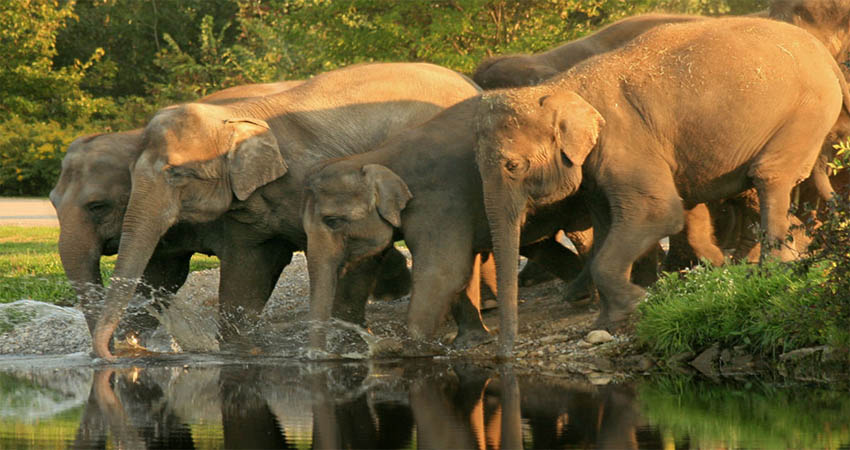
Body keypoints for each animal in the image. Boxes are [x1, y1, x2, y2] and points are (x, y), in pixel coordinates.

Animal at [90, 62, 481, 360]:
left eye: (176, 173)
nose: (113, 355)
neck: (240, 115)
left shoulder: (312, 177)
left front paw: (346, 347)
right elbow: (249, 268)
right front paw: (240, 350)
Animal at [302, 96, 589, 351]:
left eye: (332, 221)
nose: (317, 356)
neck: (375, 156)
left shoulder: (440, 202)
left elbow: (443, 272)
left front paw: (410, 349)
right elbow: (367, 265)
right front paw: (471, 342)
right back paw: (582, 293)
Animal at [474, 17, 849, 356]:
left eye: (512, 166)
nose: (504, 354)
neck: (560, 85)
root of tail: (827, 57)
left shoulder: (624, 141)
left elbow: (657, 213)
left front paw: (638, 302)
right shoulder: (597, 166)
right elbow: (608, 223)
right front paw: (608, 320)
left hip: (807, 112)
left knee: (769, 176)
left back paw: (768, 271)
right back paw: (783, 254)